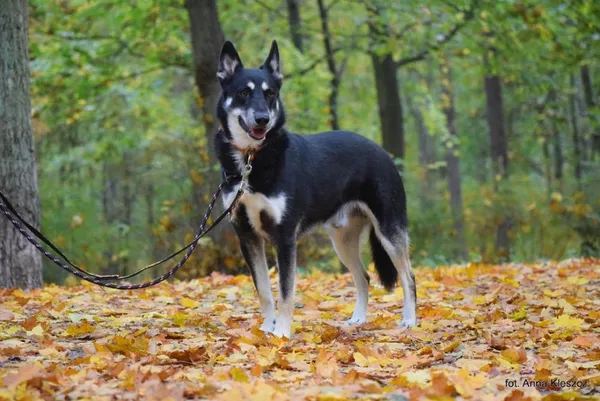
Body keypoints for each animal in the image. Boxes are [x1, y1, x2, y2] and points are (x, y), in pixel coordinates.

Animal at [216, 39, 418, 338]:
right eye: (243, 92)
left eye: (270, 94)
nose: (263, 119)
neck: (252, 159)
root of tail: (382, 152)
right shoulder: (247, 235)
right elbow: (264, 291)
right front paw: (265, 329)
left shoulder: (285, 236)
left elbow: (286, 291)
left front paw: (281, 333)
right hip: (343, 240)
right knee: (364, 277)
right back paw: (358, 319)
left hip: (389, 230)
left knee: (408, 276)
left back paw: (410, 320)